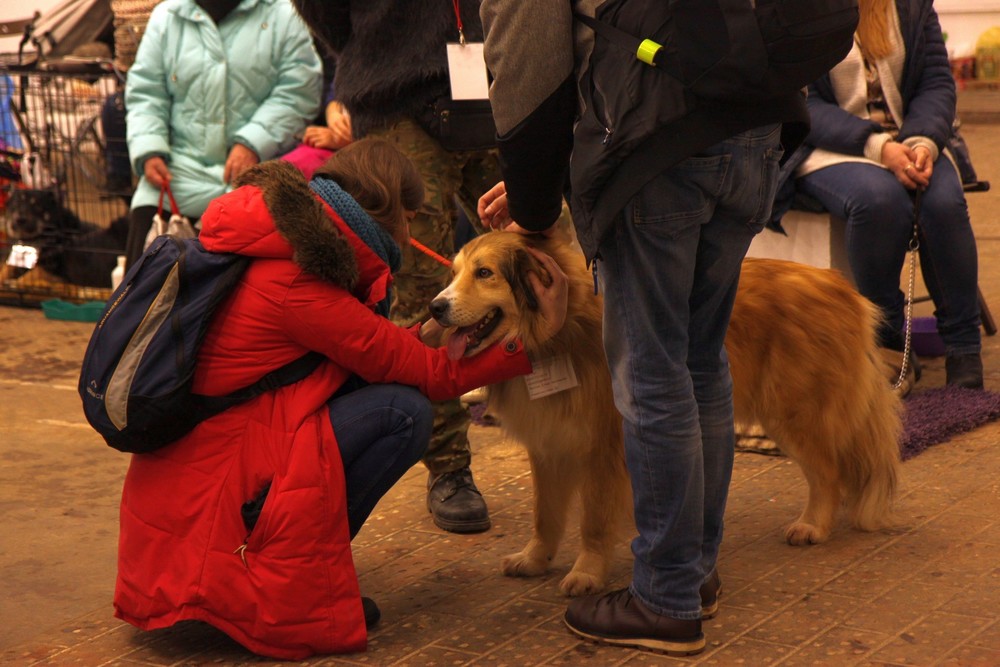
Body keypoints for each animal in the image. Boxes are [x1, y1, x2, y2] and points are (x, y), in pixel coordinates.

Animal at [428, 234, 900, 596]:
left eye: (485, 273)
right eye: (454, 273)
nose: (434, 307)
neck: (553, 335)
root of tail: (842, 287)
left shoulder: (603, 452)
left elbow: (593, 522)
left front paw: (586, 572)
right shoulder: (550, 448)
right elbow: (545, 516)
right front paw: (534, 559)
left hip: (794, 414)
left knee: (829, 473)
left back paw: (813, 526)